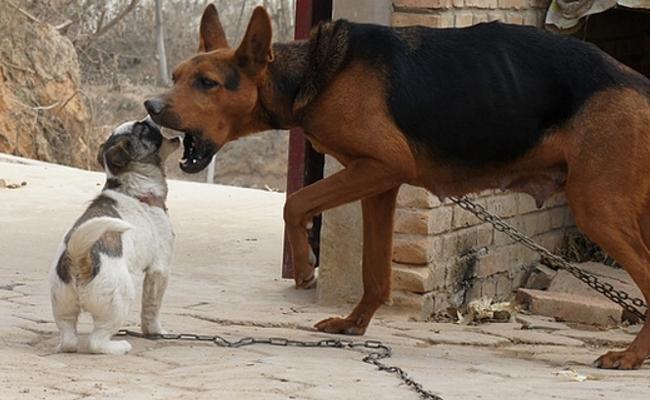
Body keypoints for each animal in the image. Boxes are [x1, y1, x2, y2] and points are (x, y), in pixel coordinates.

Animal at [49, 117, 178, 354]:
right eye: (143, 128)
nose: (151, 116)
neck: (133, 189)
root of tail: (79, 259)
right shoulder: (160, 269)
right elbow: (152, 308)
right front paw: (156, 332)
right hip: (121, 301)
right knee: (96, 341)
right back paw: (119, 346)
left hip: (63, 307)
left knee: (69, 339)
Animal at [147, 5, 648, 368]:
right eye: (176, 78)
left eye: (207, 83)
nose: (151, 105)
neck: (315, 73)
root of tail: (641, 86)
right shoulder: (378, 183)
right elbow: (375, 275)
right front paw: (355, 324)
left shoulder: (382, 166)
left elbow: (296, 203)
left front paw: (306, 266)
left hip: (597, 208)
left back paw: (630, 357)